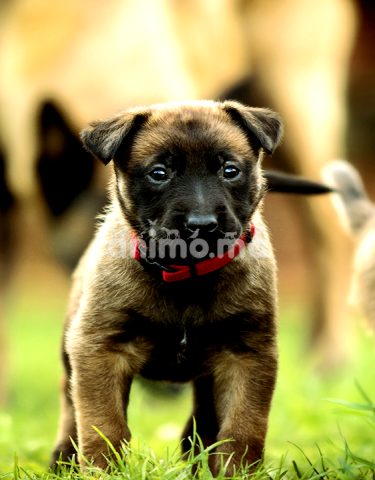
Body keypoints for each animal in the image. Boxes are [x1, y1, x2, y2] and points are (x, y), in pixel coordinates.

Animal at [51, 99, 284, 474]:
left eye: (230, 170)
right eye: (159, 173)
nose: (202, 225)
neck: (187, 277)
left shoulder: (248, 354)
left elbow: (242, 428)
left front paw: (236, 473)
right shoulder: (100, 349)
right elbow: (104, 424)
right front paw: (104, 471)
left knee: (205, 417)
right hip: (71, 353)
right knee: (70, 408)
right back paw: (62, 459)